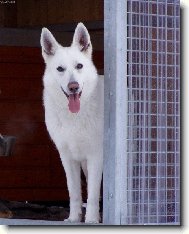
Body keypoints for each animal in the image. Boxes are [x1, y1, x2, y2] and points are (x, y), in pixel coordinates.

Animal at [40, 23, 104, 223]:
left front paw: (91, 220)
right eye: (60, 69)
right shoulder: (67, 158)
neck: (74, 116)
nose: (73, 87)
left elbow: (92, 194)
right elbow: (74, 192)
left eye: (79, 66)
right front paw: (74, 218)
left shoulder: (95, 156)